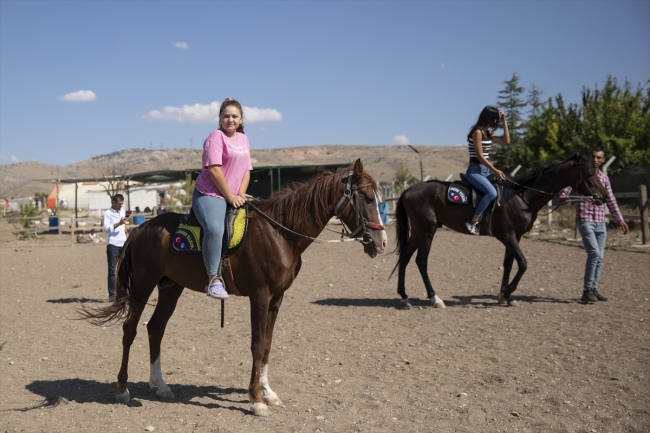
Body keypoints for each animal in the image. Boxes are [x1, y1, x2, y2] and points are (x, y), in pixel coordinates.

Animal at [79, 159, 384, 416]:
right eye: (368, 198)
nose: (381, 242)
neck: (280, 232)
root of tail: (141, 230)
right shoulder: (260, 295)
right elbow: (257, 345)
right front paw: (256, 400)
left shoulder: (277, 297)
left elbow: (268, 344)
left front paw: (268, 392)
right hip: (143, 286)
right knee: (129, 330)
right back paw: (122, 390)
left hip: (170, 288)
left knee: (155, 329)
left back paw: (161, 386)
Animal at [390, 154, 608, 308]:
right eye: (589, 174)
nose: (604, 196)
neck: (522, 197)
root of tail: (409, 190)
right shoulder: (507, 236)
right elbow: (523, 263)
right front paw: (508, 292)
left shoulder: (515, 237)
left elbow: (509, 263)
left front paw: (504, 295)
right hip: (427, 231)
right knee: (421, 261)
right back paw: (435, 298)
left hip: (418, 232)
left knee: (405, 257)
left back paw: (404, 297)